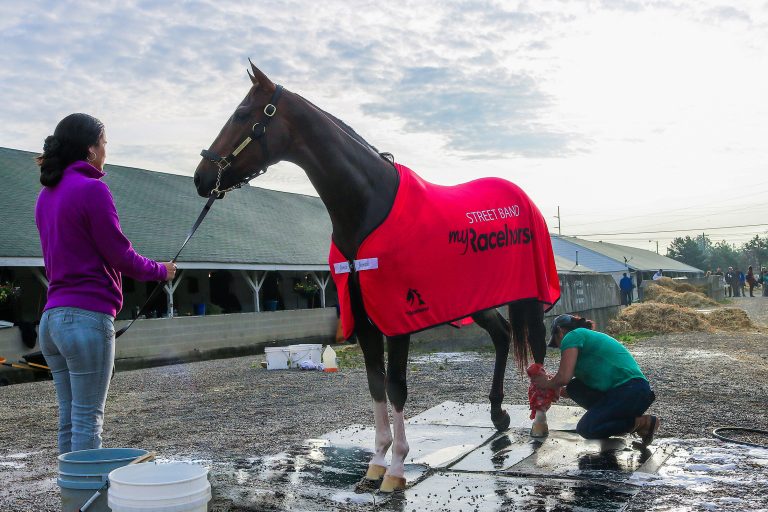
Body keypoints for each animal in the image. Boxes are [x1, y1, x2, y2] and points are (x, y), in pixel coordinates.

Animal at [194, 62, 560, 493]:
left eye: (241, 115)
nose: (201, 177)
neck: (367, 206)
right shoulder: (365, 319)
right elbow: (374, 384)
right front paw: (375, 464)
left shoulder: (398, 316)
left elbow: (397, 386)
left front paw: (397, 468)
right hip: (475, 297)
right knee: (502, 335)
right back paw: (498, 414)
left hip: (529, 293)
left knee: (536, 343)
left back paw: (538, 423)